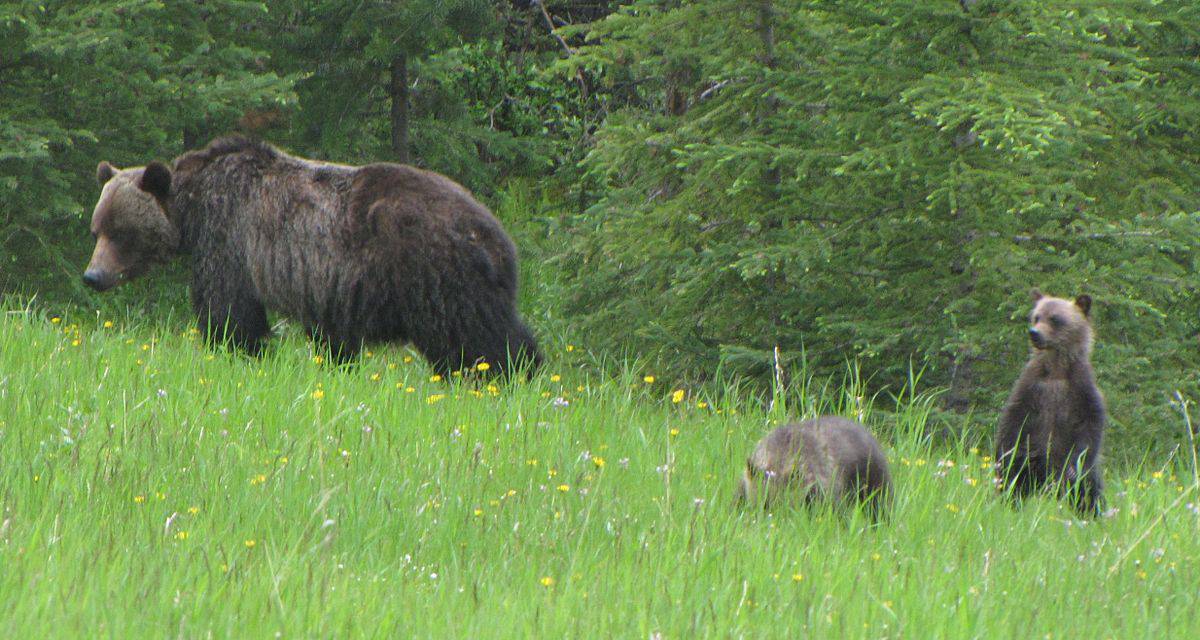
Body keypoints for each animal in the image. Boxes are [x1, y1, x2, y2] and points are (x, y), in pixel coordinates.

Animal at [87, 136, 547, 374]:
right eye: (97, 229)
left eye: (120, 232)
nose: (93, 276)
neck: (192, 208)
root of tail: (497, 235)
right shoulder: (330, 284)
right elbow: (334, 336)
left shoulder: (229, 237)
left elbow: (231, 310)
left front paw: (237, 352)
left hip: (435, 271)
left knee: (476, 336)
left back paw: (510, 373)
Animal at [993, 289, 1104, 513]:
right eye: (1036, 316)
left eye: (1055, 319)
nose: (1034, 332)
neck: (1056, 369)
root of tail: (1047, 483)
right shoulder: (1031, 387)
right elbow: (1012, 420)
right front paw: (1004, 455)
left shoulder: (1081, 389)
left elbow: (1090, 424)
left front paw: (1075, 465)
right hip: (1030, 461)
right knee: (1013, 484)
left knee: (1088, 492)